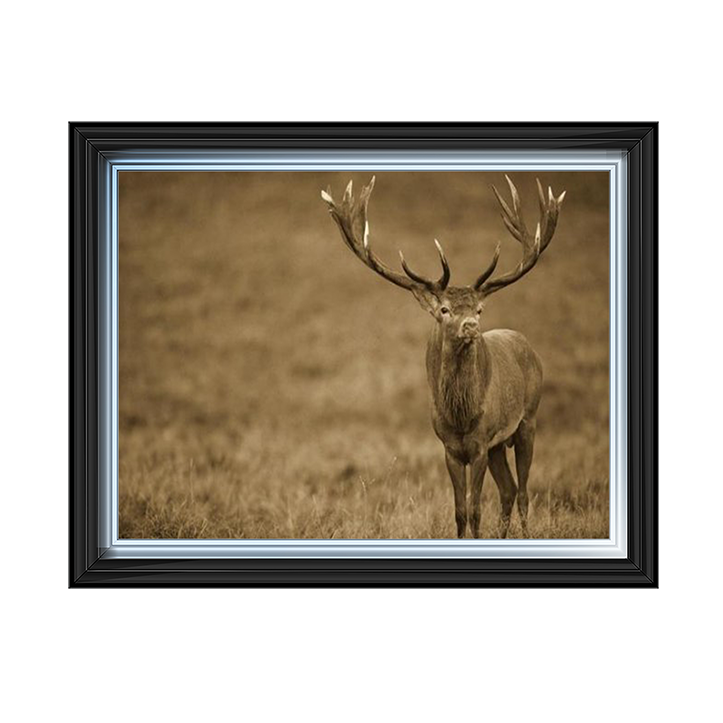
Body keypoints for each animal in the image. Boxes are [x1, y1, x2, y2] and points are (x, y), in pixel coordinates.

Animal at [321, 175, 565, 539]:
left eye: (479, 309)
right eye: (444, 309)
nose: (471, 326)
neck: (460, 417)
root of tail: (528, 346)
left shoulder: (479, 444)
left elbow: (476, 509)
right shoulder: (450, 447)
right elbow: (460, 510)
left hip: (528, 420)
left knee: (522, 492)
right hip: (499, 445)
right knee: (508, 490)